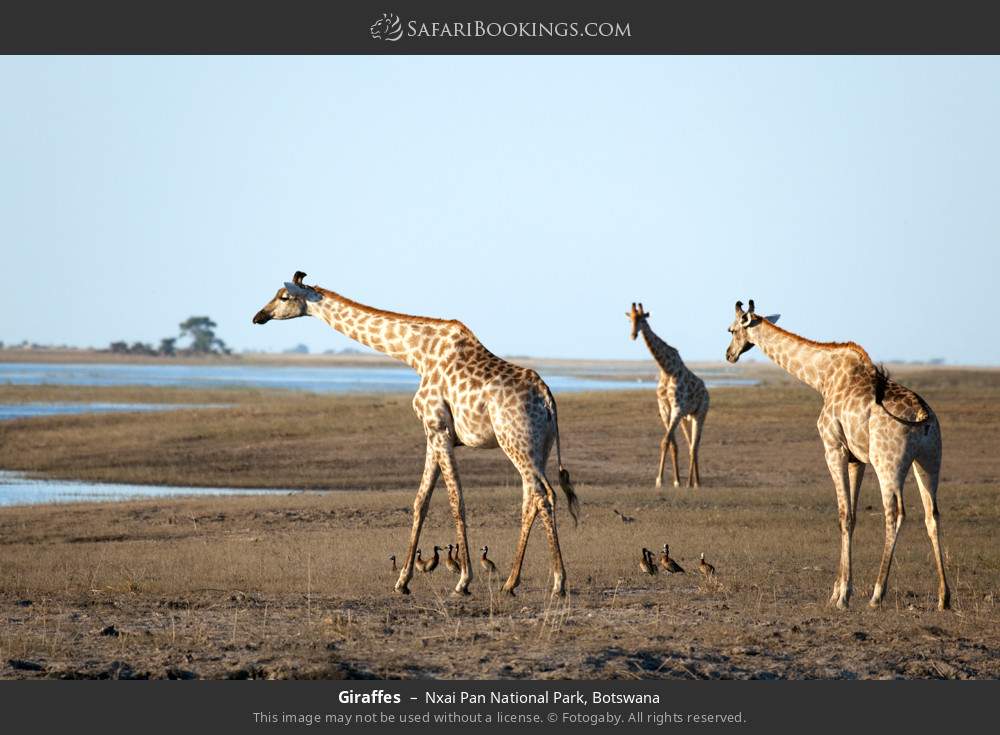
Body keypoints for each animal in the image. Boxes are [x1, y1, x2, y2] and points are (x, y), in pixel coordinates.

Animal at [252, 272, 580, 597]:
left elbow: (456, 501)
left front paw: (463, 581)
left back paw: (558, 583)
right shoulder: (432, 435)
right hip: (537, 448)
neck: (416, 354)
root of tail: (548, 399)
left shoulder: (439, 429)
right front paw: (403, 581)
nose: (259, 316)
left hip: (516, 443)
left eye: (283, 297)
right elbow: (420, 501)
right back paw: (511, 583)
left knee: (543, 496)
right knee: (532, 499)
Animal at [627, 303, 709, 488]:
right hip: (687, 417)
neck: (666, 369)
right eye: (630, 319)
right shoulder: (665, 409)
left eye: (642, 319)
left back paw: (692, 484)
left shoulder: (677, 408)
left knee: (694, 446)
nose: (633, 335)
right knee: (690, 444)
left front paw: (663, 480)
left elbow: (665, 441)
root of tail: (706, 391)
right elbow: (671, 444)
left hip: (700, 414)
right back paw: (696, 482)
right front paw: (673, 480)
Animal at [725, 300, 949, 610]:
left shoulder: (833, 448)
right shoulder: (857, 458)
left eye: (731, 329)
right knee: (932, 514)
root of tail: (921, 415)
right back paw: (944, 597)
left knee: (895, 514)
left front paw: (842, 596)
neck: (822, 378)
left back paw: (877, 595)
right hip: (929, 460)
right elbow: (853, 516)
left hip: (888, 464)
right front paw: (838, 590)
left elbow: (843, 515)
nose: (729, 354)